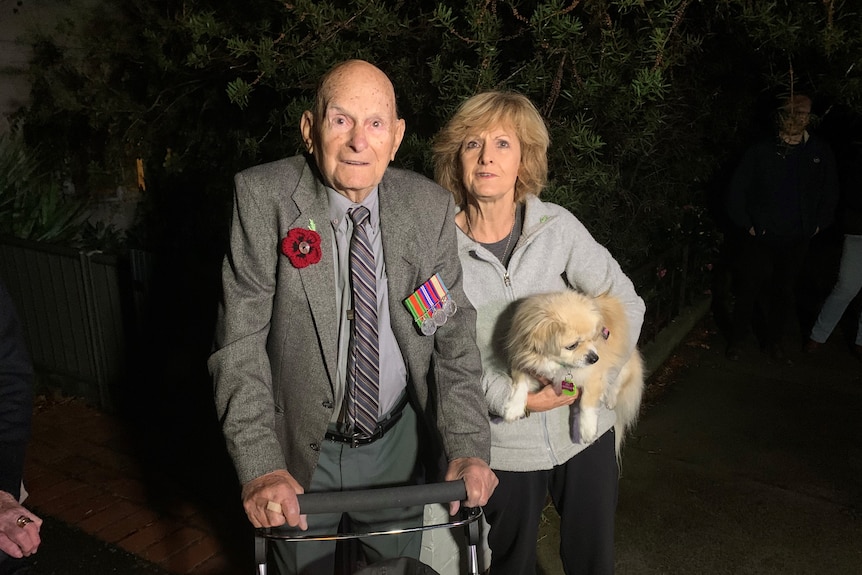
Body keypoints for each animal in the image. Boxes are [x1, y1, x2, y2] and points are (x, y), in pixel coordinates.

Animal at [506, 290, 640, 456]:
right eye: (572, 346)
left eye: (593, 338)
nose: (594, 358)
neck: (557, 364)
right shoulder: (523, 362)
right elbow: (520, 384)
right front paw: (513, 408)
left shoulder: (594, 376)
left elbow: (587, 403)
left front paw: (588, 430)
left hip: (623, 365)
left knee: (617, 383)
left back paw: (610, 399)